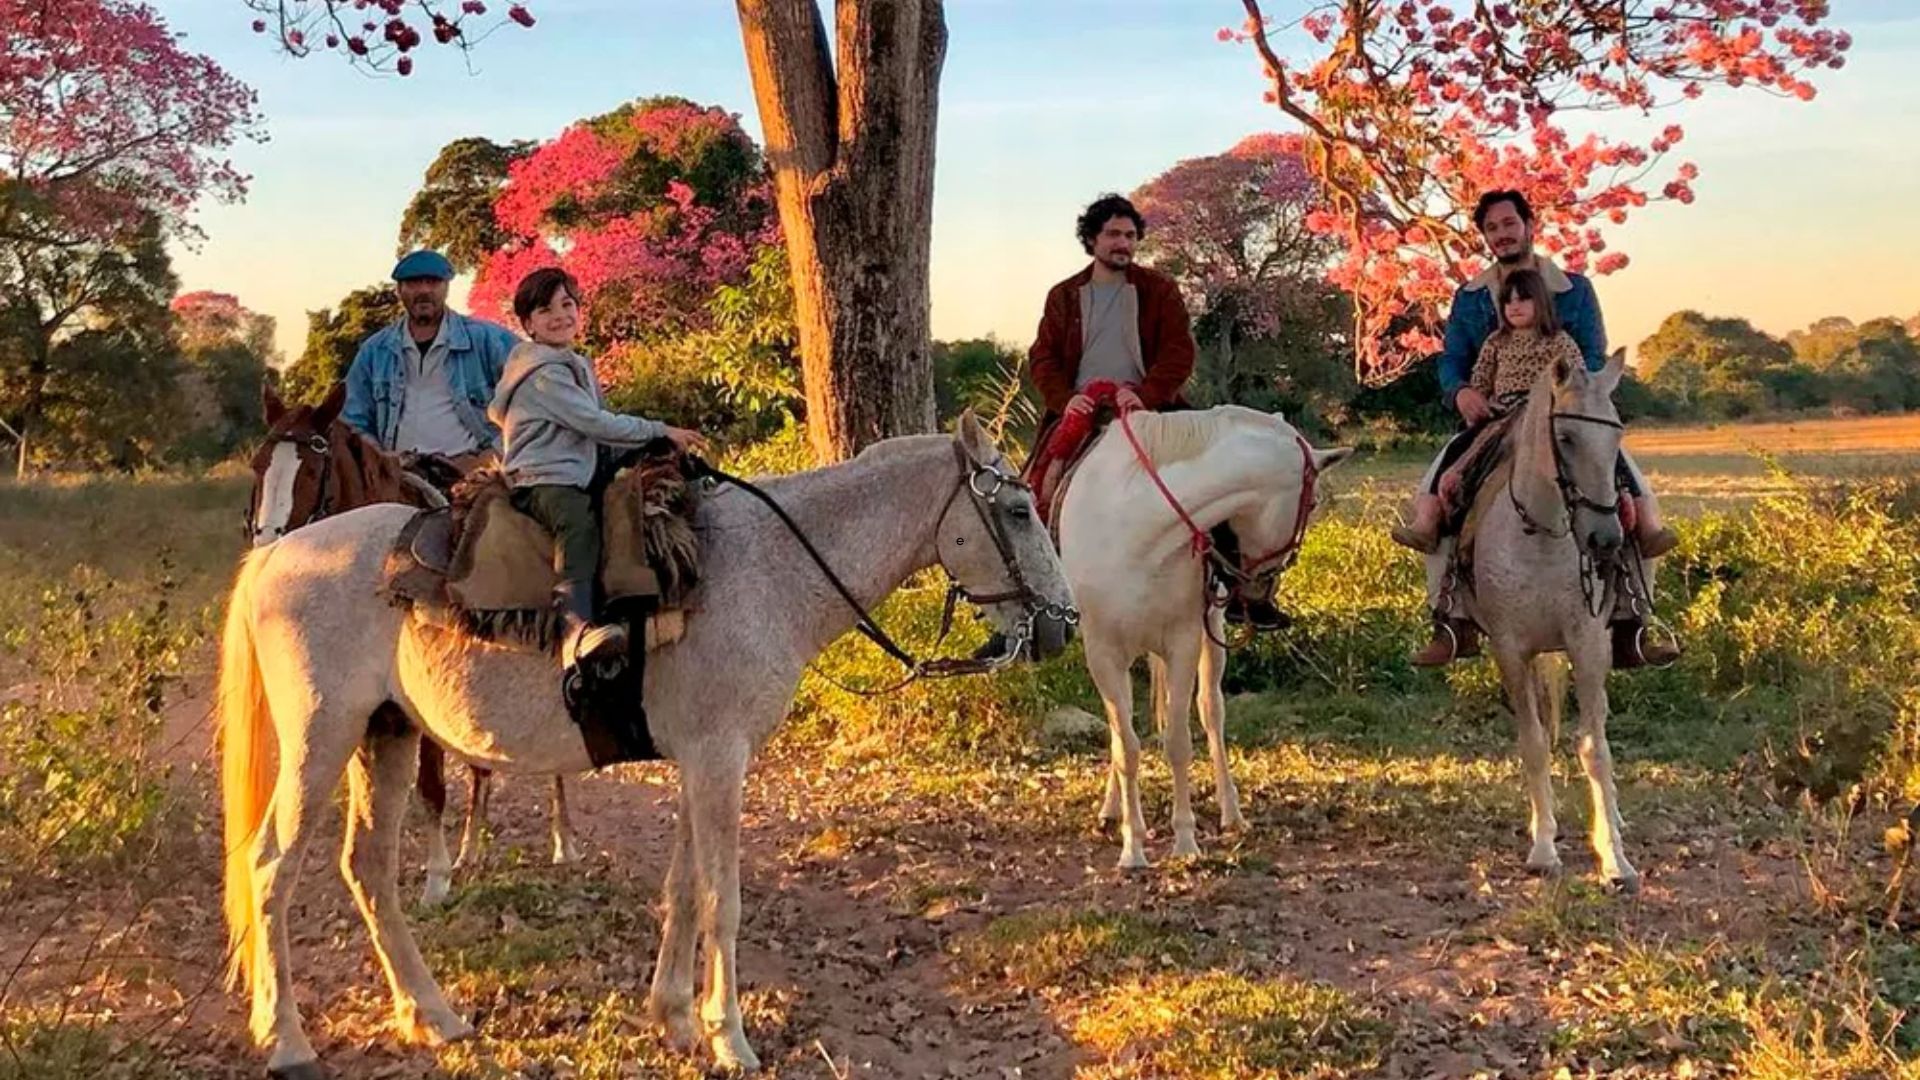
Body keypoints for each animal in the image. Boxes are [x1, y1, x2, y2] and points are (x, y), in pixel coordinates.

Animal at [220, 413, 1082, 1076]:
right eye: (1016, 512)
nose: (1063, 627)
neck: (766, 569)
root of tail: (276, 555)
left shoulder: (703, 760)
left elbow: (684, 889)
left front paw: (674, 1017)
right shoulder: (720, 760)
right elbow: (722, 899)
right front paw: (730, 1038)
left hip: (386, 736)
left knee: (367, 869)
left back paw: (433, 1016)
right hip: (320, 738)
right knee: (270, 867)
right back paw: (287, 1040)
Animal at [1059, 403, 1359, 864]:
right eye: (1310, 503)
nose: (1260, 600)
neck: (1138, 530)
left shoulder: (1183, 644)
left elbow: (1179, 741)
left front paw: (1184, 841)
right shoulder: (1103, 653)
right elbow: (1125, 745)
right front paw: (1133, 846)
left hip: (1208, 638)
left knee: (1210, 712)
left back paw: (1231, 812)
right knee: (1120, 729)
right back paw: (1112, 809)